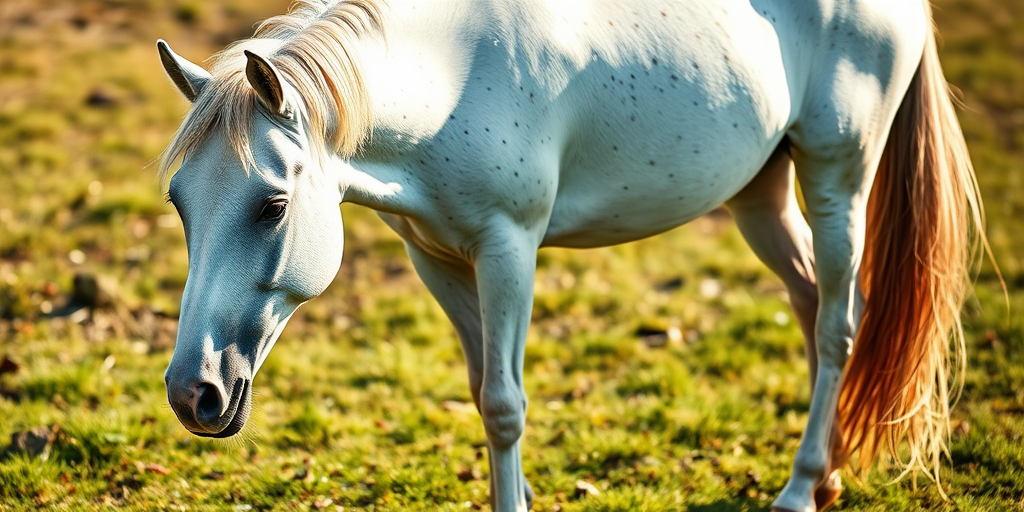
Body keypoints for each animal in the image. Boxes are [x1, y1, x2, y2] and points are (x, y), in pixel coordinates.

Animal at [156, 1, 983, 510]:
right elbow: (480, 386)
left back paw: (799, 488)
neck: (450, 74)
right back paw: (829, 477)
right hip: (761, 193)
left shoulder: (508, 249)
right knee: (812, 300)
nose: (192, 394)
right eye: (180, 206)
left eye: (273, 205)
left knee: (841, 323)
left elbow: (503, 404)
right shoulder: (437, 258)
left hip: (839, 173)